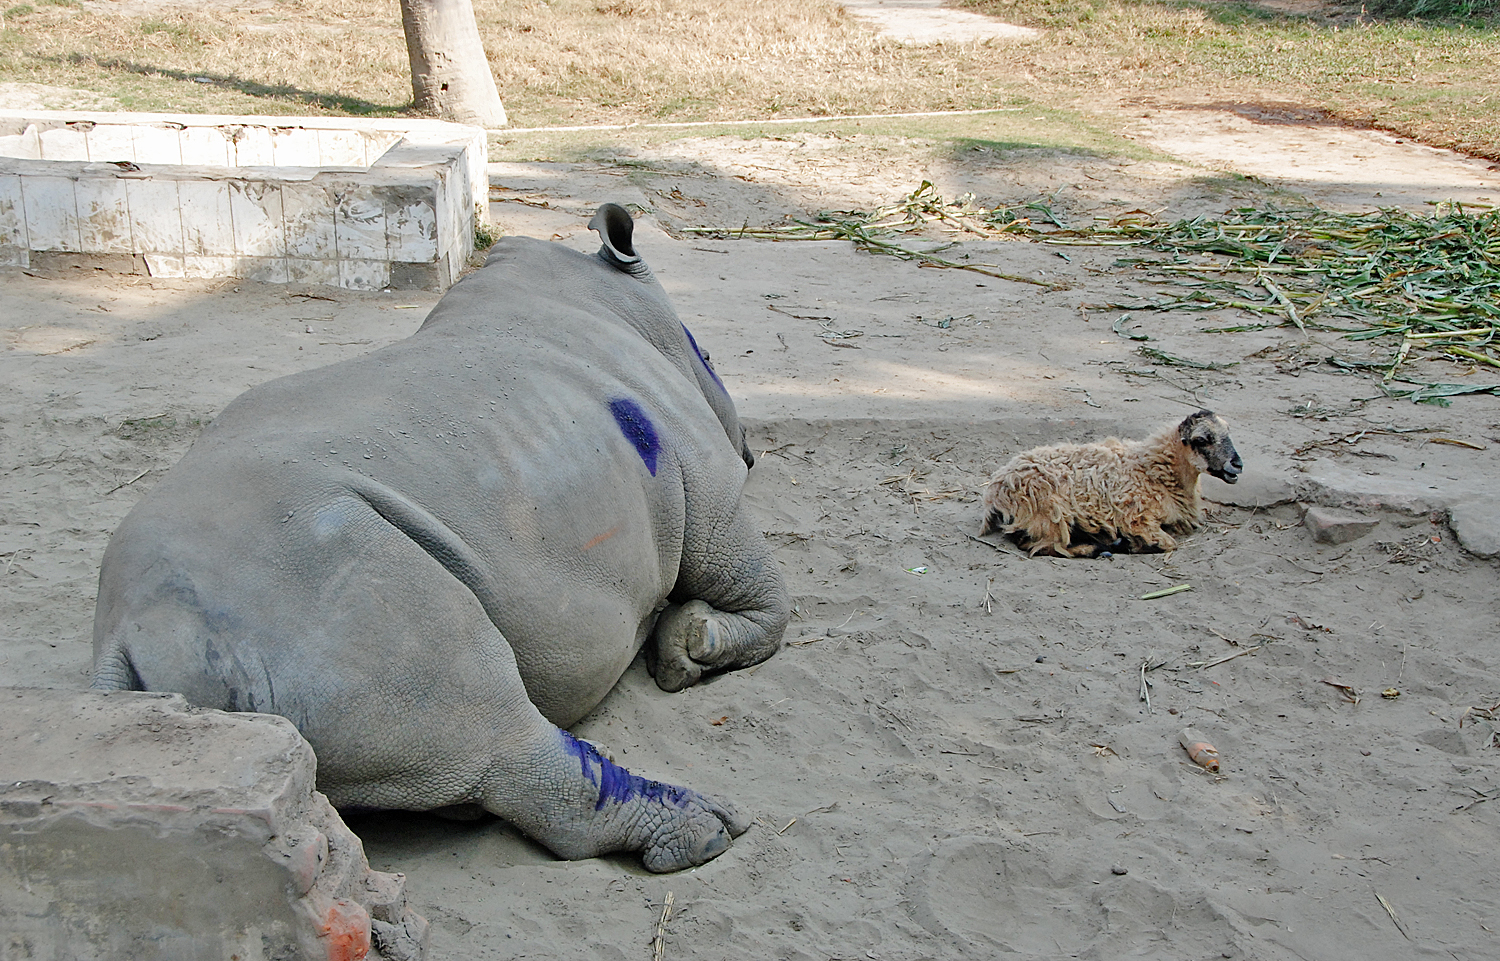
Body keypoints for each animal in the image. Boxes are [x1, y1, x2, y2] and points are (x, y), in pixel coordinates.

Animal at [978, 407, 1236, 557]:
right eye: (1202, 440)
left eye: (1228, 433)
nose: (1237, 465)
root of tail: (994, 493)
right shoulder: (1137, 517)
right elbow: (1169, 543)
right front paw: (1134, 544)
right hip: (1048, 514)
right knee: (1041, 546)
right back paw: (1101, 547)